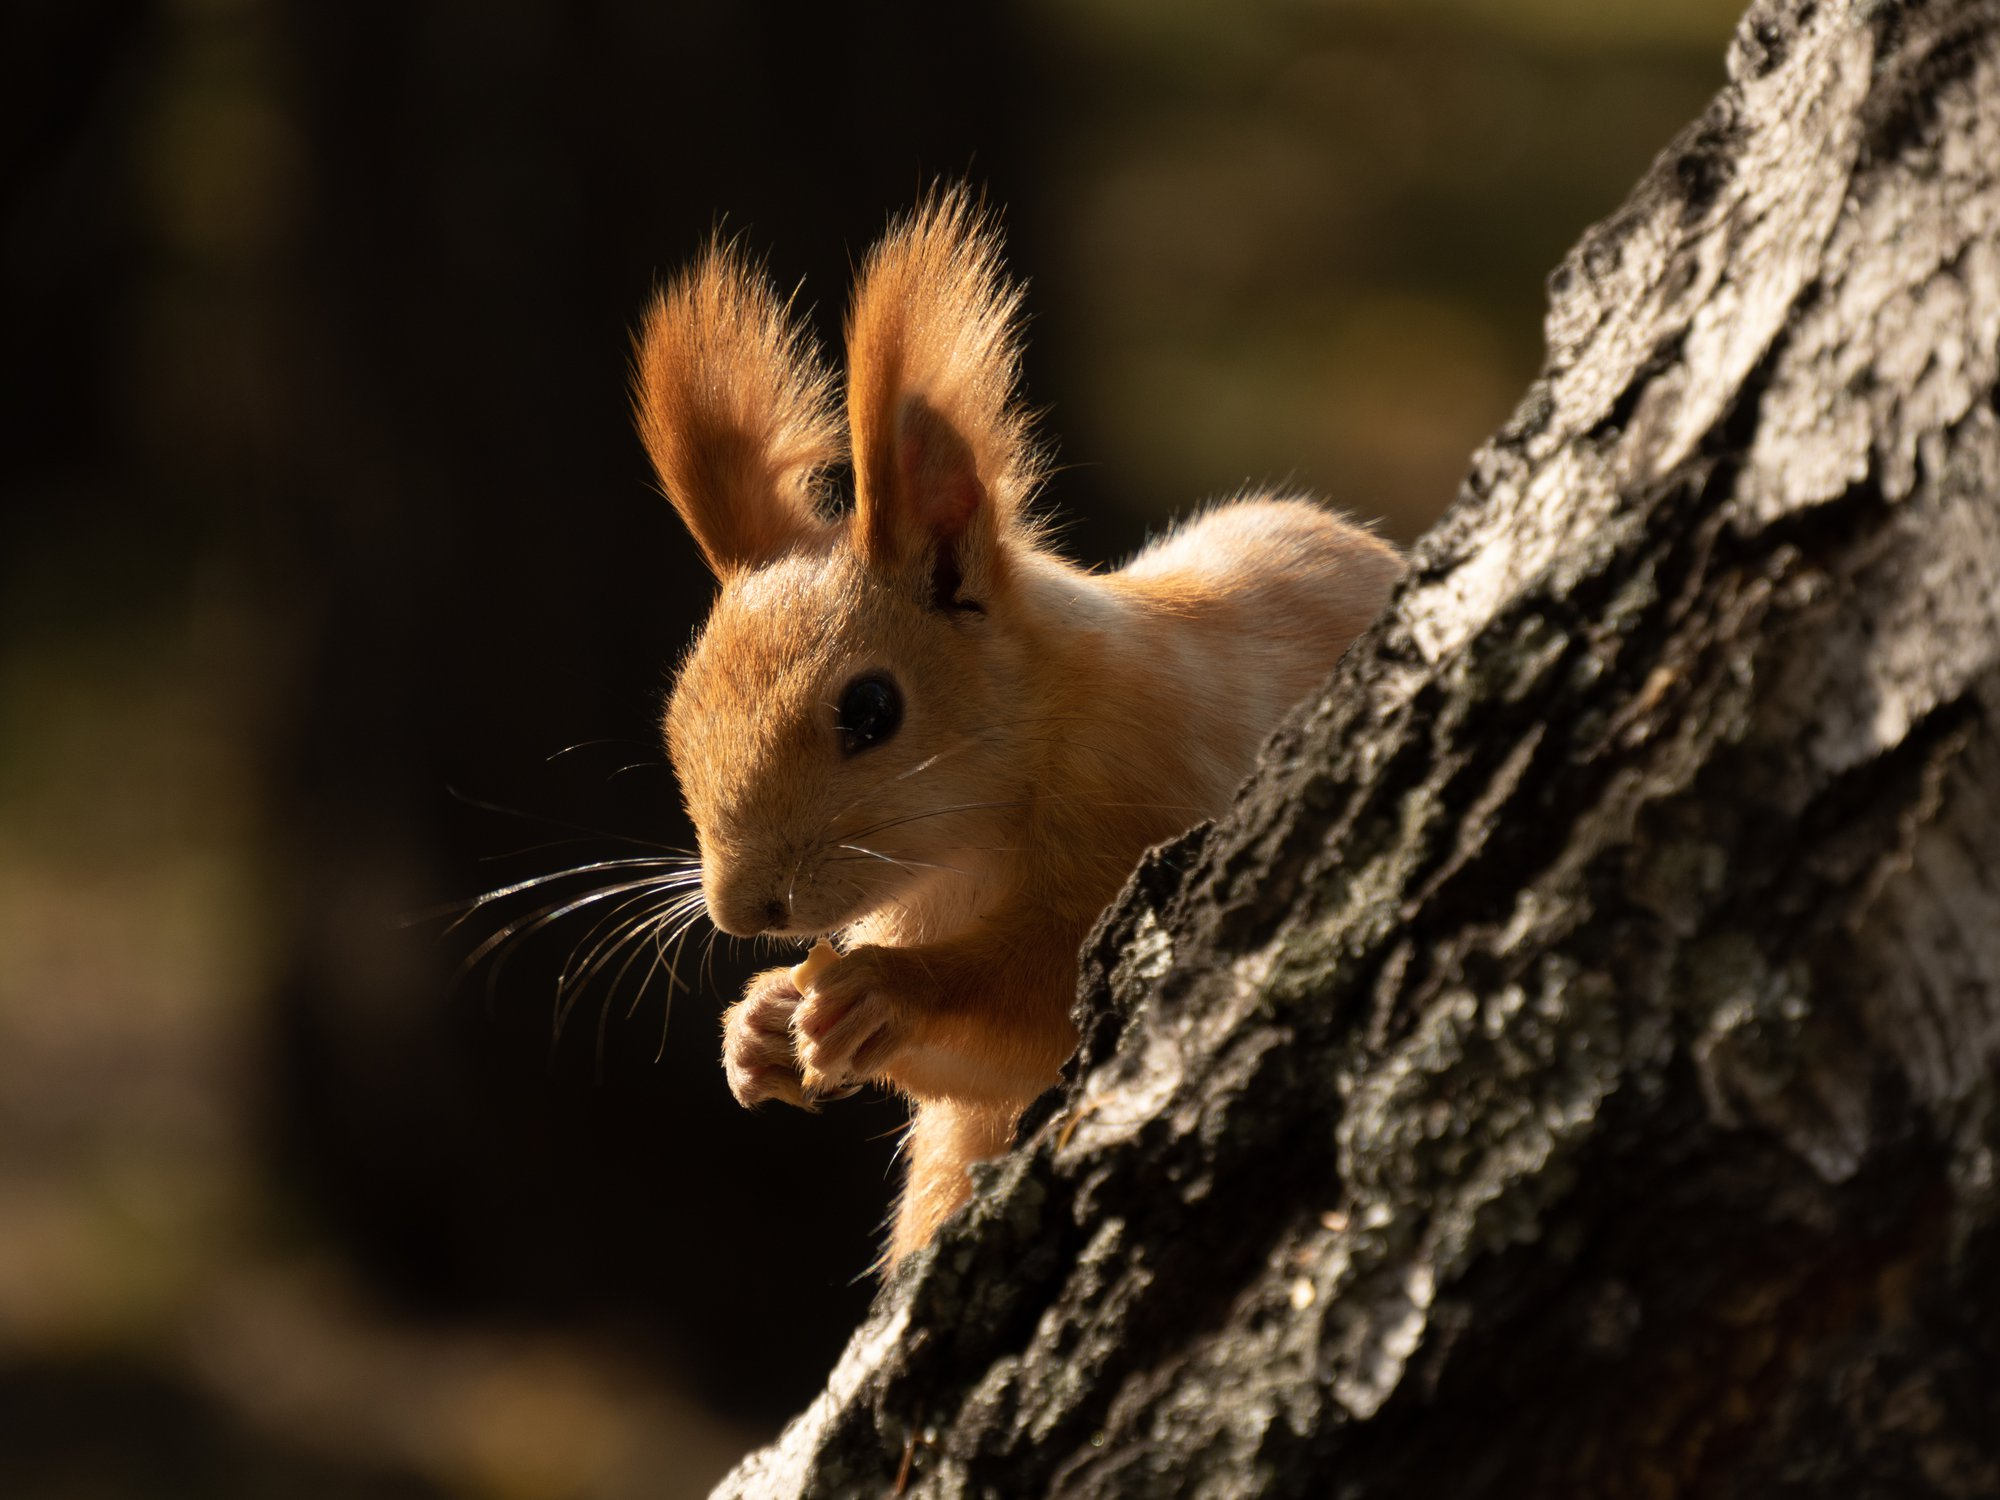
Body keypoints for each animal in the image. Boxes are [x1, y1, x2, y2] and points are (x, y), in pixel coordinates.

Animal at [632, 191, 1400, 1272]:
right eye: (678, 718)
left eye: (870, 710)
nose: (741, 915)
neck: (969, 847)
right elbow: (969, 1074)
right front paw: (760, 1024)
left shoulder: (1159, 785)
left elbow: (1041, 1006)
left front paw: (882, 989)